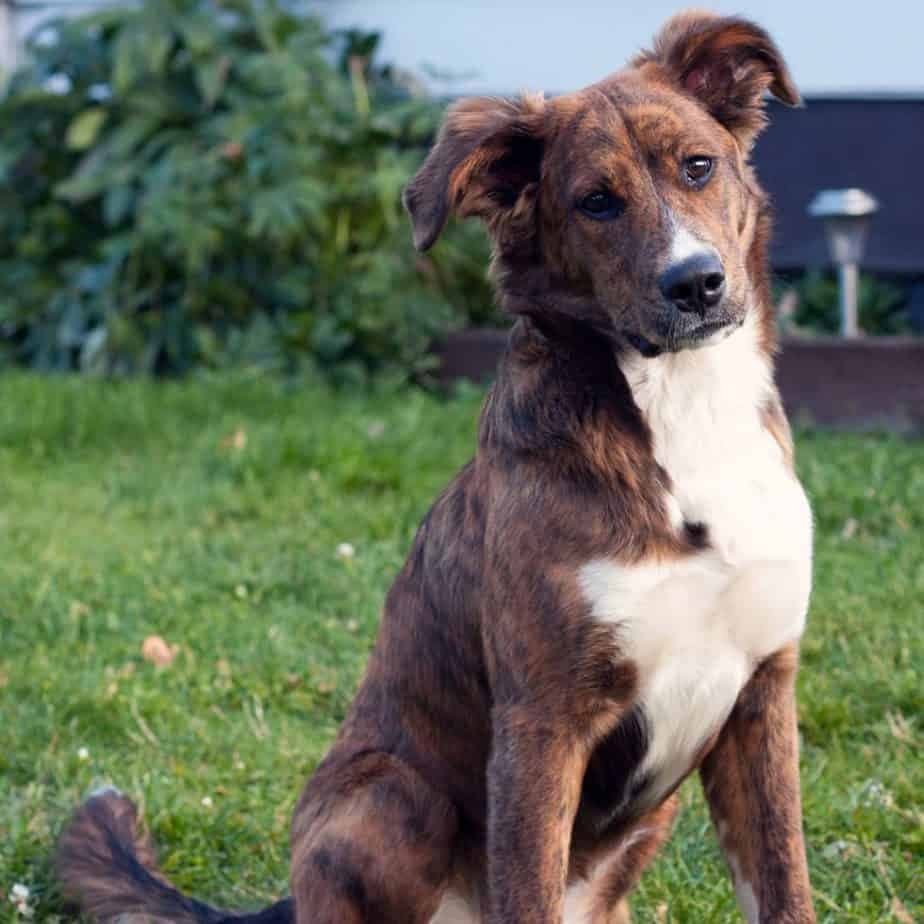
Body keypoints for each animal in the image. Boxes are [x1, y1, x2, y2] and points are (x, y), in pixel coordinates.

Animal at [56, 9, 816, 924]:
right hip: (390, 794)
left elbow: (786, 884)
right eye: (594, 202)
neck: (680, 416)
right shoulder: (543, 720)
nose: (695, 283)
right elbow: (525, 890)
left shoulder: (761, 697)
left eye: (697, 165)